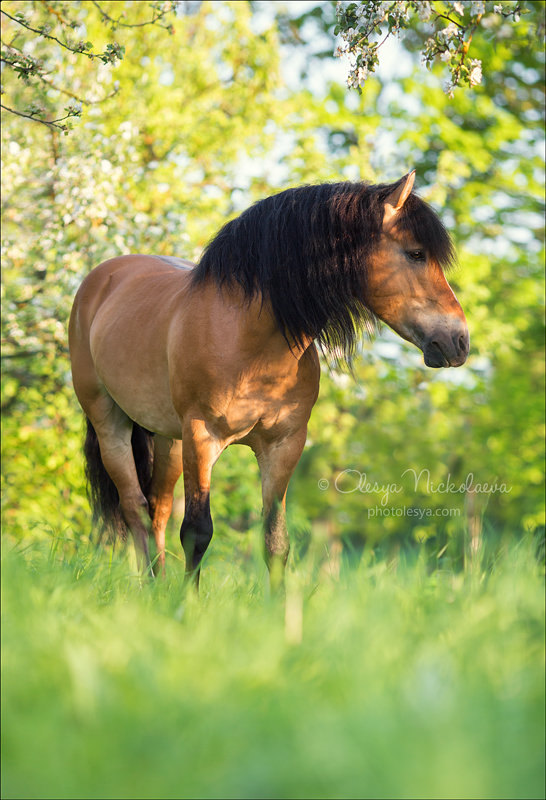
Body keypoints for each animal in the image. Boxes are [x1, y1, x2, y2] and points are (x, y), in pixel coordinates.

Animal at [68, 173, 468, 588]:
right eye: (416, 253)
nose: (459, 341)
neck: (249, 337)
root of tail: (102, 279)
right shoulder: (202, 436)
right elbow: (197, 530)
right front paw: (188, 602)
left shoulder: (283, 444)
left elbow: (275, 541)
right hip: (112, 424)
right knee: (135, 507)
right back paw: (149, 587)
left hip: (169, 439)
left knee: (158, 510)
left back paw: (159, 586)